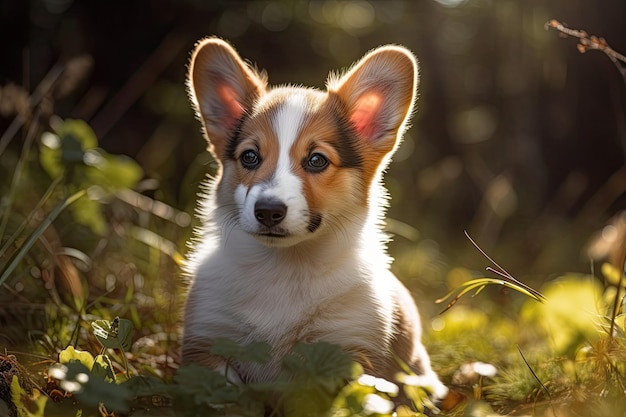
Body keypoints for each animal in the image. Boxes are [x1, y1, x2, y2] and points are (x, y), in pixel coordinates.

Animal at [179, 37, 444, 398]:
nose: (268, 211)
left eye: (317, 160)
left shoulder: (352, 349)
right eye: (250, 157)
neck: (285, 268)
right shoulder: (207, 340)